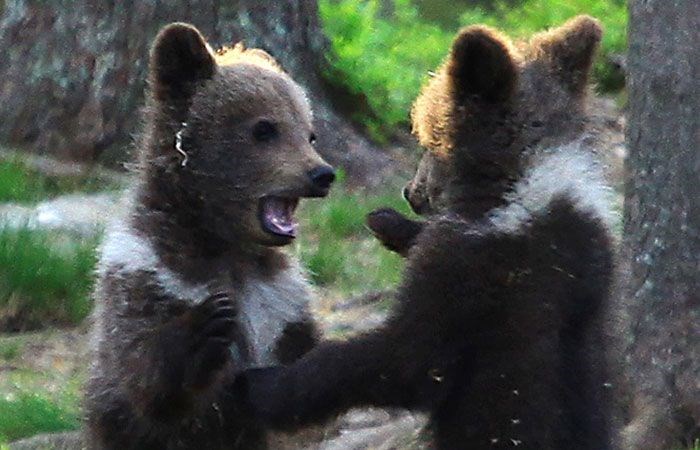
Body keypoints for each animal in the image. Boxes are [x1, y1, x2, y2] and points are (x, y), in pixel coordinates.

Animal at [83, 23, 335, 450]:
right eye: (264, 128)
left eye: (309, 133)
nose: (322, 174)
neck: (223, 244)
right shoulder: (146, 273)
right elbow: (142, 372)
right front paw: (206, 324)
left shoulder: (281, 300)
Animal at [236, 16, 617, 450]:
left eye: (428, 138)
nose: (410, 192)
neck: (517, 187)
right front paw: (388, 222)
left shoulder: (475, 276)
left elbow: (403, 357)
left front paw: (263, 384)